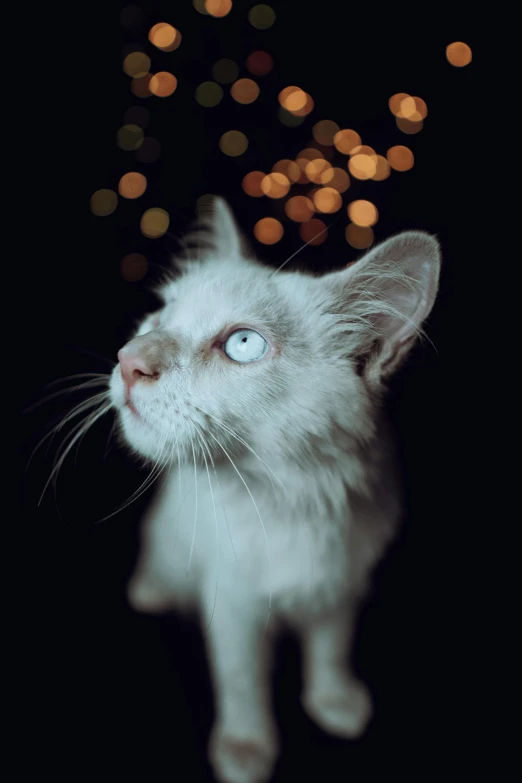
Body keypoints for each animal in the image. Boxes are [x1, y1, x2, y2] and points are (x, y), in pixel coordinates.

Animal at [106, 198, 438, 783]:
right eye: (160, 317)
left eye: (243, 344)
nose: (128, 359)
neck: (293, 502)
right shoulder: (232, 604)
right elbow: (242, 680)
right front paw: (245, 746)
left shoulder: (341, 588)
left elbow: (331, 649)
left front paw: (334, 701)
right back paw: (151, 589)